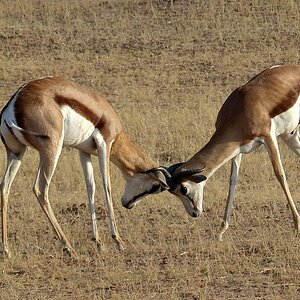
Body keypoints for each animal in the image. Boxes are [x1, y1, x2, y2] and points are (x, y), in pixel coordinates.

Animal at [0, 76, 169, 256]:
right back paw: (69, 248)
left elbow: (90, 187)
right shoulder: (105, 144)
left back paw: (6, 250)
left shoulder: (83, 152)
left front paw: (98, 241)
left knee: (4, 187)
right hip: (51, 150)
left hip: (17, 153)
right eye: (154, 187)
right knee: (40, 189)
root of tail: (13, 105)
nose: (128, 205)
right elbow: (106, 186)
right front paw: (118, 241)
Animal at [155, 64, 300, 240]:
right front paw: (221, 231)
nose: (194, 213)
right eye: (174, 193)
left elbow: (280, 175)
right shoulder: (237, 150)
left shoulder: (269, 138)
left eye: (184, 189)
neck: (240, 109)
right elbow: (233, 181)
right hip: (289, 135)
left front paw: (297, 226)